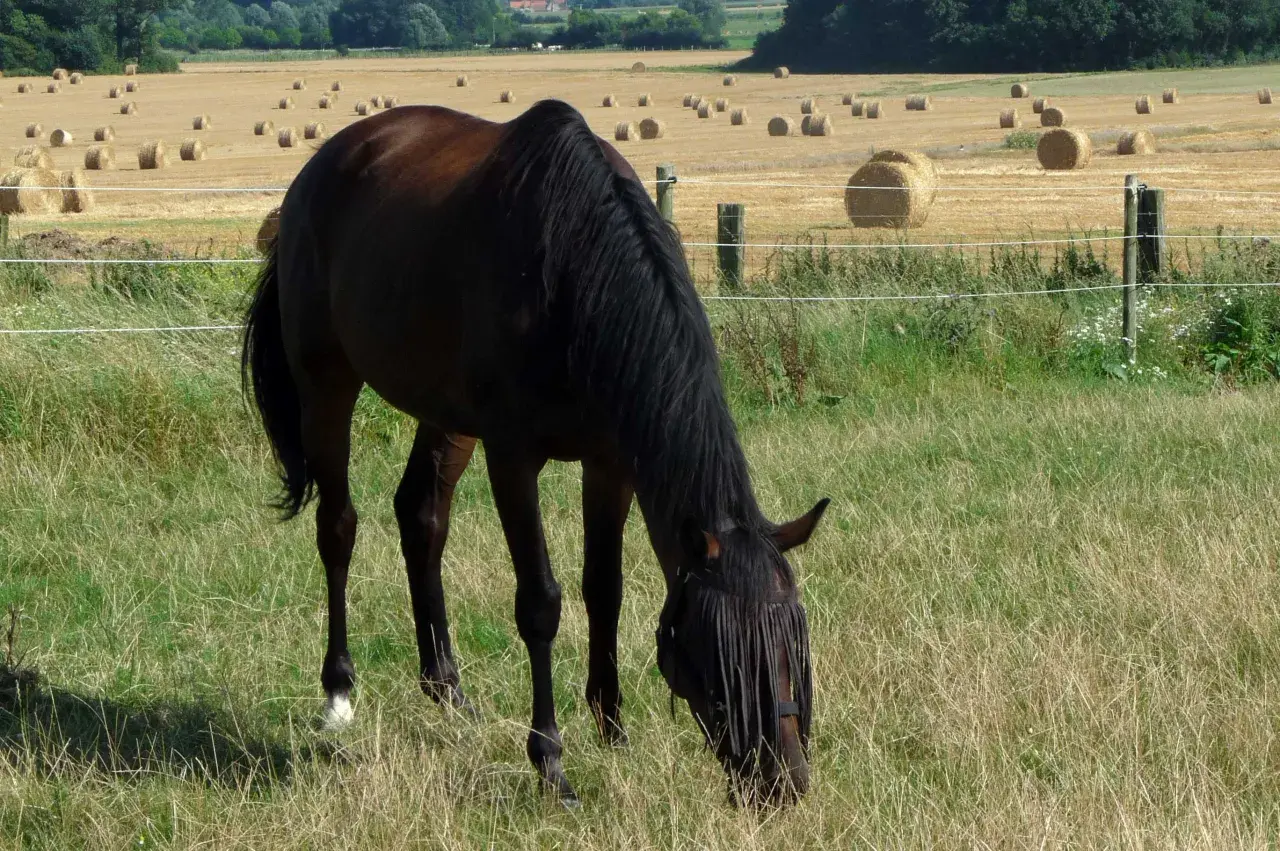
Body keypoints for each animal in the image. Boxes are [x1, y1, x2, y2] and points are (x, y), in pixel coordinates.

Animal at [241, 98, 829, 807]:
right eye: (721, 653)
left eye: (795, 644)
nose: (783, 782)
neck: (575, 272)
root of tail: (317, 169)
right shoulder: (513, 458)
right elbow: (541, 603)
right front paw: (551, 763)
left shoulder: (612, 464)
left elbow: (604, 589)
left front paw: (612, 730)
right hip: (326, 383)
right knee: (338, 529)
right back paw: (338, 694)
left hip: (447, 417)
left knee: (421, 515)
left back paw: (448, 689)